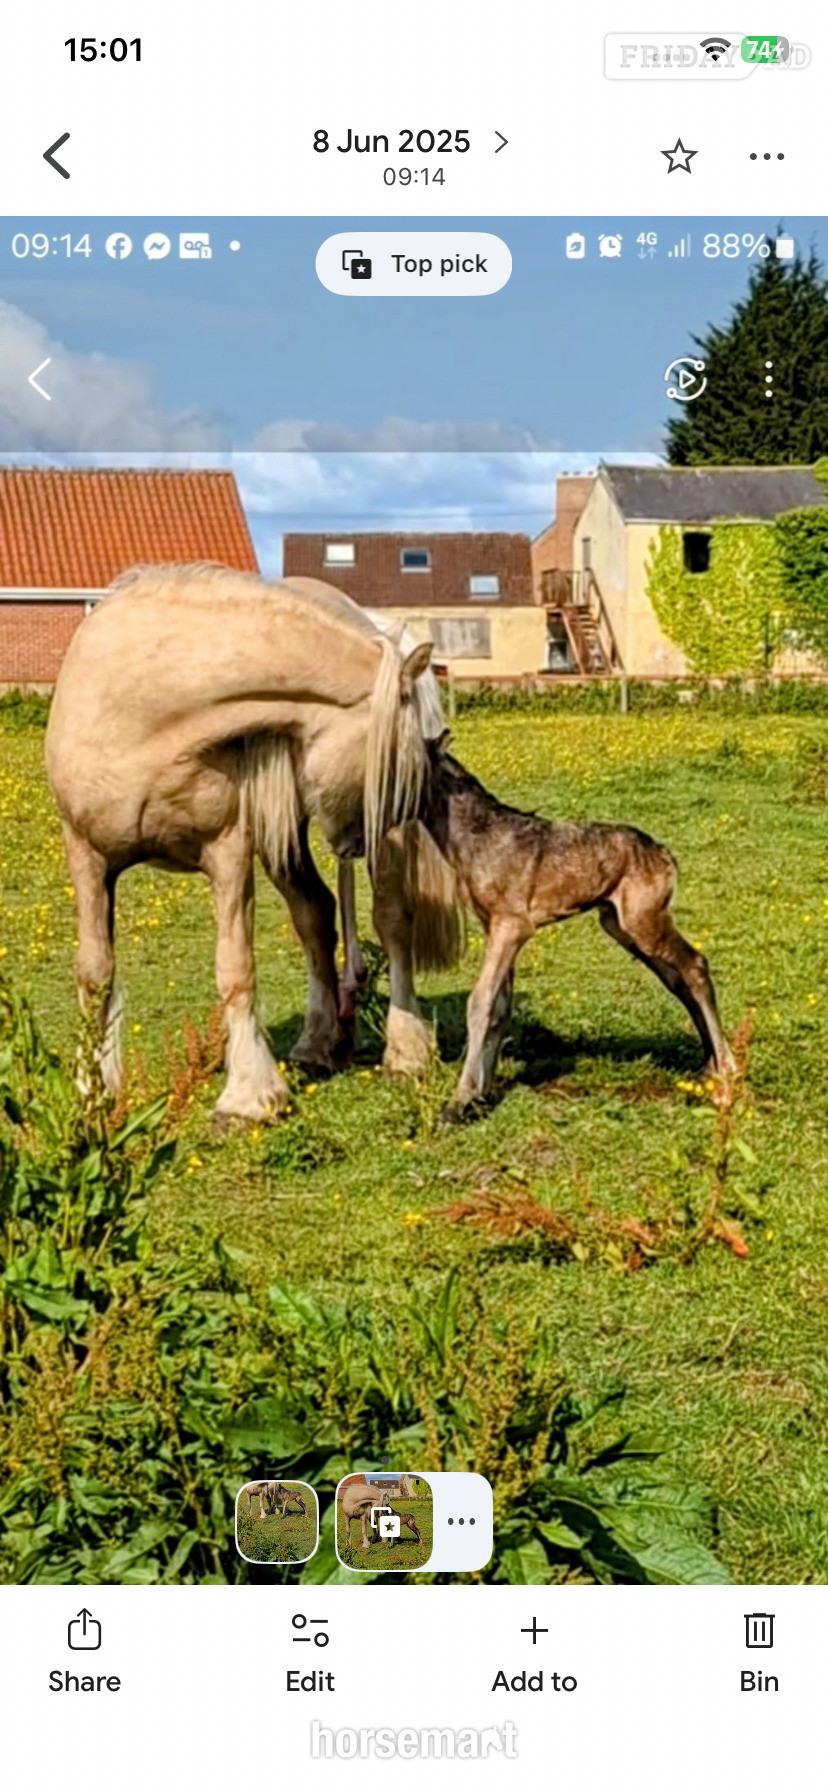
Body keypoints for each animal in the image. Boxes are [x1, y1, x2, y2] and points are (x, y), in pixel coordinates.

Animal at [45, 565, 442, 1123]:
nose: (363, 835)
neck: (135, 714)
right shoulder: (86, 857)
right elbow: (95, 972)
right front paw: (91, 1093)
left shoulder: (226, 851)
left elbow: (235, 968)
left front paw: (249, 1096)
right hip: (286, 840)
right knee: (316, 914)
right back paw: (318, 1044)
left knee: (391, 921)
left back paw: (407, 1052)